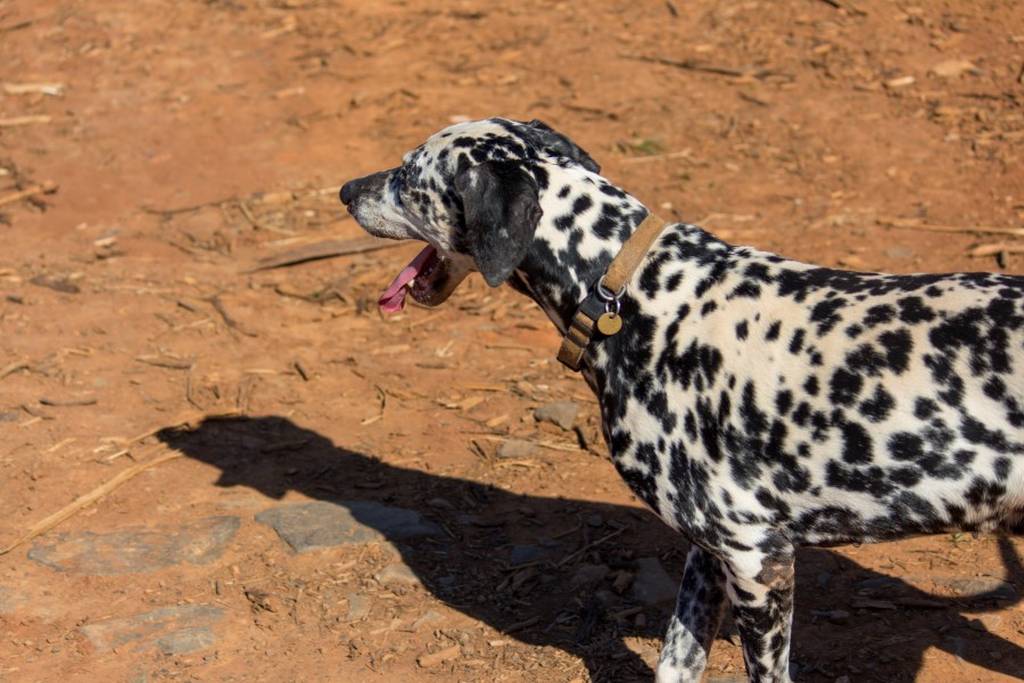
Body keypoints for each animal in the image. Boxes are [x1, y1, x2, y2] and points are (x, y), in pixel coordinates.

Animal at [340, 117, 1024, 682]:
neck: (631, 295)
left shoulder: (758, 559)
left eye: (408, 174)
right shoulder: (709, 557)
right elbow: (675, 662)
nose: (345, 190)